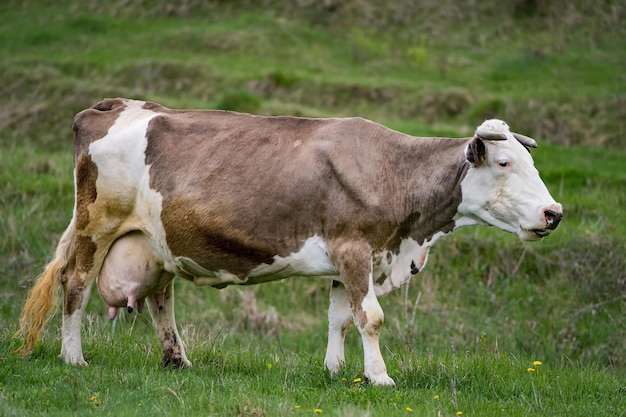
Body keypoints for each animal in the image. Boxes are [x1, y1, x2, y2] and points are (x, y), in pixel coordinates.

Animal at [15, 96, 560, 384]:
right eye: (505, 163)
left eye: (531, 164)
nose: (554, 213)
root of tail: (113, 105)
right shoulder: (354, 249)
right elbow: (371, 317)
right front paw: (380, 377)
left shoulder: (352, 257)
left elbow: (342, 317)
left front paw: (336, 370)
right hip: (97, 224)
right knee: (76, 284)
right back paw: (73, 356)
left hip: (157, 240)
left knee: (159, 297)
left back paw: (178, 359)